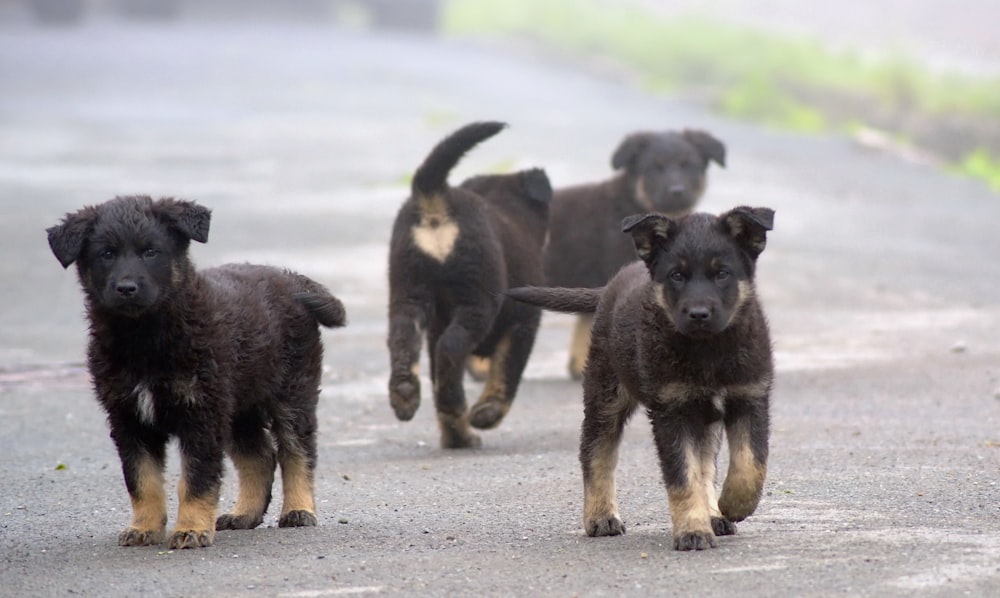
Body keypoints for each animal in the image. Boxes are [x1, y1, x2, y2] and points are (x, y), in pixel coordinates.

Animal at [47, 196, 348, 548]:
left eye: (151, 252)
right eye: (106, 254)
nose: (127, 288)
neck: (145, 338)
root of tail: (292, 279)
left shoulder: (200, 413)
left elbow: (196, 478)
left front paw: (191, 529)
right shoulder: (128, 417)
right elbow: (142, 480)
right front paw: (144, 528)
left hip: (291, 392)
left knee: (297, 451)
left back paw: (299, 510)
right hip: (238, 406)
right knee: (260, 456)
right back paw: (244, 514)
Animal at [386, 122, 552, 450]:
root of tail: (436, 198)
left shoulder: (435, 325)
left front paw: (455, 436)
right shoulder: (524, 323)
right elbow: (507, 372)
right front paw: (486, 414)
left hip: (407, 290)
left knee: (405, 338)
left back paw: (405, 394)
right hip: (477, 298)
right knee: (451, 348)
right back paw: (458, 411)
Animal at [508, 207, 772, 552]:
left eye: (722, 274)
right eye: (677, 275)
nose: (698, 314)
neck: (708, 351)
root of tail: (608, 288)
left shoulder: (750, 397)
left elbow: (750, 463)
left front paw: (731, 505)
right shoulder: (671, 411)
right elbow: (683, 477)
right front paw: (692, 531)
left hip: (702, 419)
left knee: (706, 464)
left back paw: (714, 513)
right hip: (606, 395)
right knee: (596, 452)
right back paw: (601, 516)